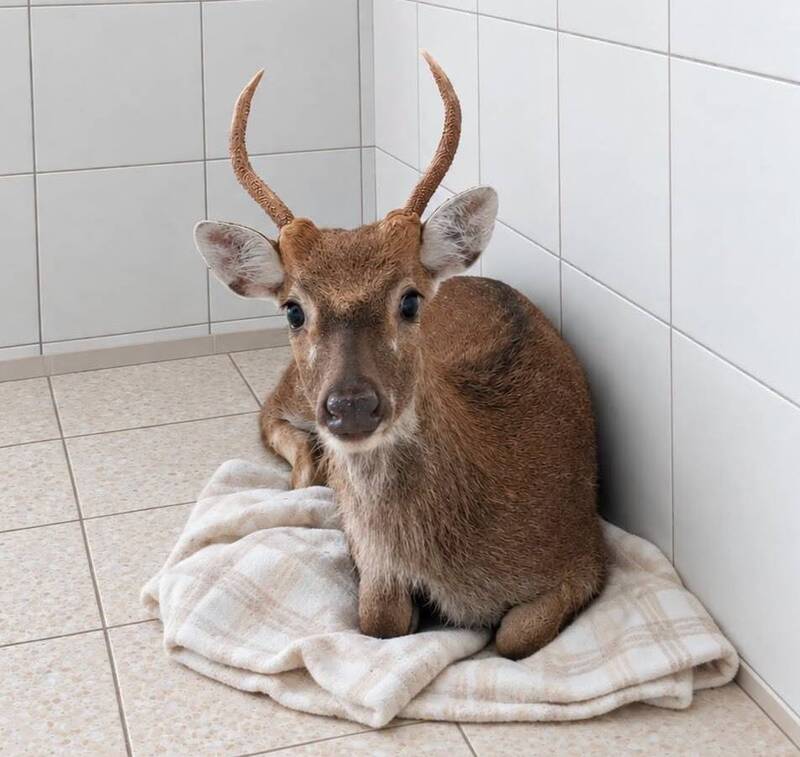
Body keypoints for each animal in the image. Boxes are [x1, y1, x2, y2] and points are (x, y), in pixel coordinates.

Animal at [193, 53, 606, 659]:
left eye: (410, 299)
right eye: (293, 309)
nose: (351, 406)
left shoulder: (585, 550)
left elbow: (513, 637)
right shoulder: (378, 568)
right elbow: (378, 622)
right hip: (295, 391)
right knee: (269, 416)